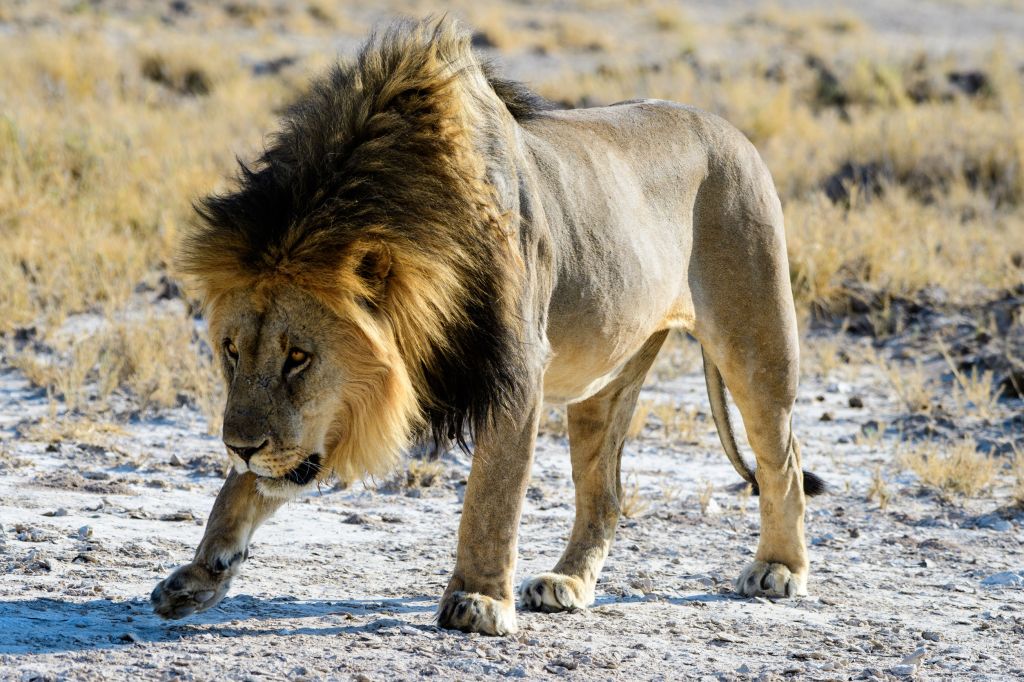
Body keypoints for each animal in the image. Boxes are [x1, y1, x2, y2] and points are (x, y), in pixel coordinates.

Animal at [150, 18, 825, 635]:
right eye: (231, 351)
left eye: (298, 357)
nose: (238, 445)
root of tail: (730, 130)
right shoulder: (348, 403)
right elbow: (245, 487)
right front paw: (200, 574)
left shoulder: (516, 370)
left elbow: (491, 497)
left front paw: (478, 599)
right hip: (604, 380)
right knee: (604, 494)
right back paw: (568, 584)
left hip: (756, 340)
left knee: (783, 461)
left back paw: (779, 568)